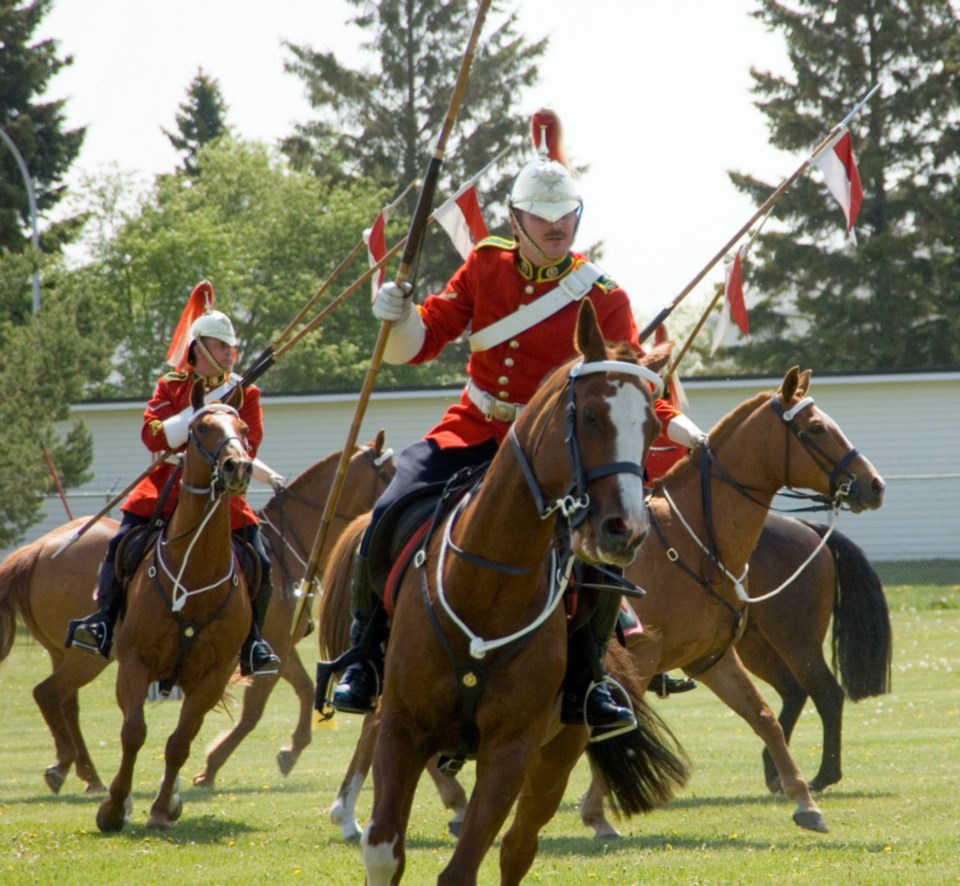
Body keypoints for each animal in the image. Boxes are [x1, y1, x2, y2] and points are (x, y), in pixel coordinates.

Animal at [0, 434, 394, 796]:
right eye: (390, 472)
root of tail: (37, 550)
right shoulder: (272, 648)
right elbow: (254, 711)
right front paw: (211, 768)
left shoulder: (274, 648)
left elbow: (304, 688)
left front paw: (290, 751)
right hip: (91, 656)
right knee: (49, 694)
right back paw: (73, 769)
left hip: (69, 653)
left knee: (65, 703)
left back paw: (82, 772)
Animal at [96, 388, 255, 832]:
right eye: (200, 427)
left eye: (244, 428)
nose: (238, 467)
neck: (195, 569)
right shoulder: (134, 662)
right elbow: (133, 732)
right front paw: (114, 807)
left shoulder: (212, 676)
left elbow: (179, 742)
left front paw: (162, 809)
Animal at [334, 306, 688, 886]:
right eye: (591, 416)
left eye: (654, 427)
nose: (625, 531)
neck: (489, 583)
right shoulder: (400, 730)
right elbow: (384, 850)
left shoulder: (510, 753)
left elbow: (464, 869)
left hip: (555, 758)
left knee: (518, 848)